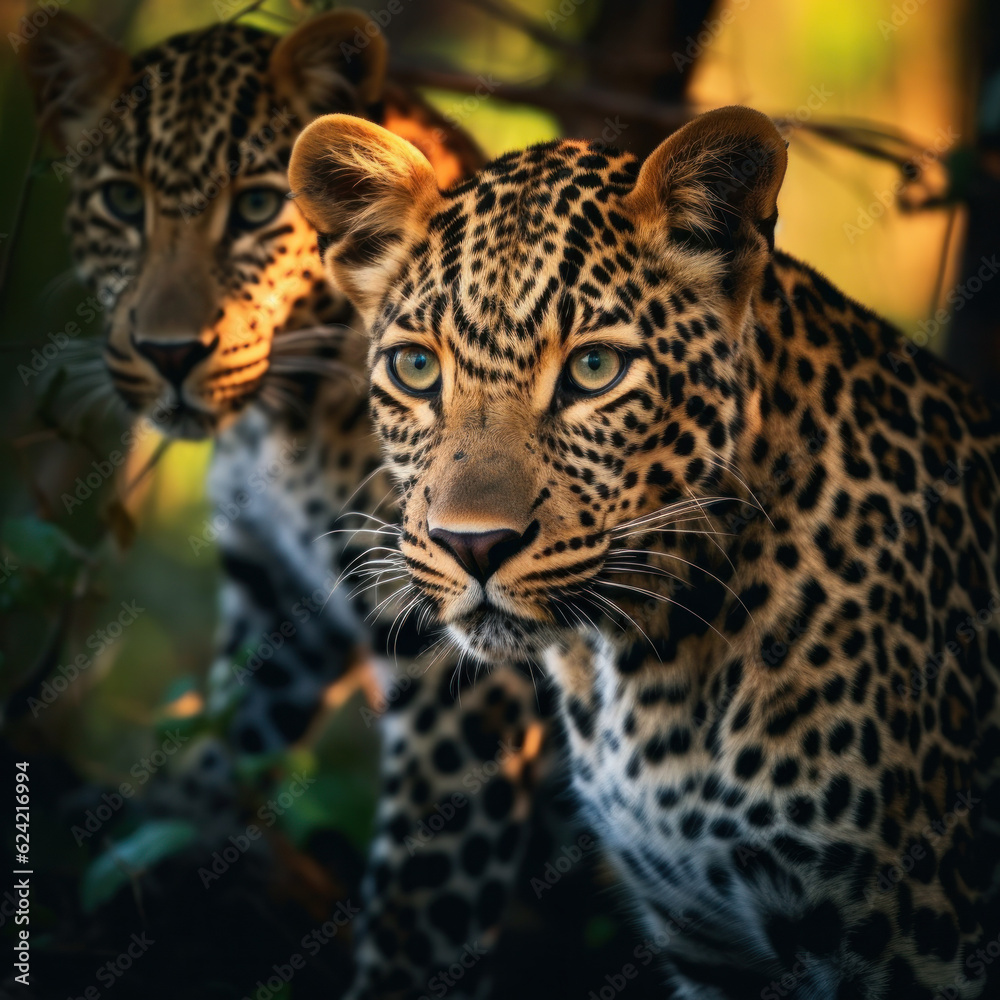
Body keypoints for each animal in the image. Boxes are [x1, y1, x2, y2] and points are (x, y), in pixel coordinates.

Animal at [24, 11, 559, 998]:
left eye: (256, 208)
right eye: (119, 203)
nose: (170, 354)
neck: (281, 422)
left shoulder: (465, 651)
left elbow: (426, 892)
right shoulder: (279, 592)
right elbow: (227, 737)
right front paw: (150, 852)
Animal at [290, 104, 1000, 998]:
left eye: (595, 368)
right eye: (417, 368)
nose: (472, 544)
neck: (648, 658)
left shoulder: (917, 934)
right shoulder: (708, 944)